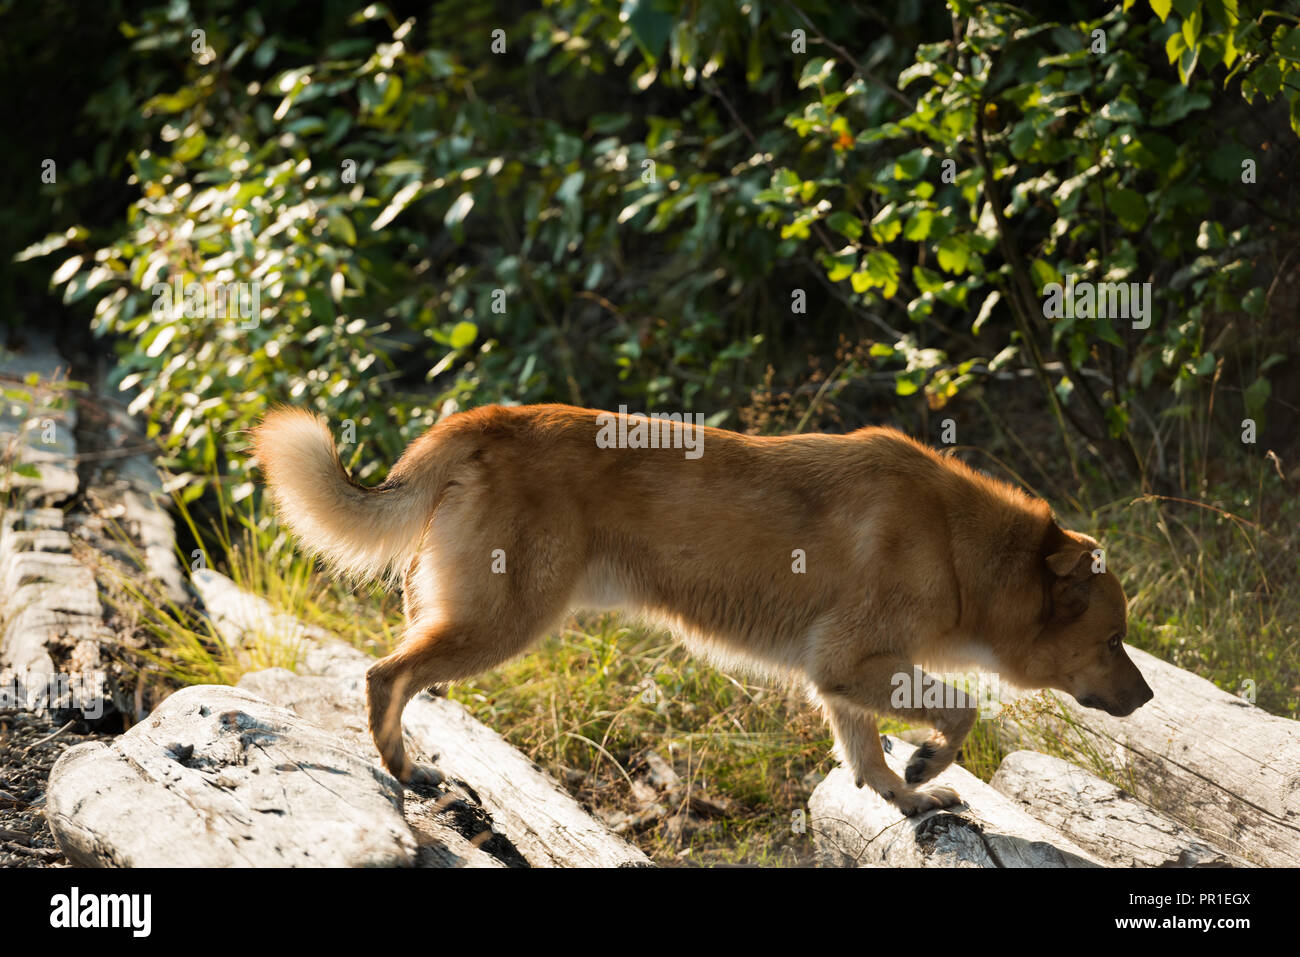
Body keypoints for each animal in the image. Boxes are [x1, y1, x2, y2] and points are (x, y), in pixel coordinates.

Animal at [256, 403, 1159, 816]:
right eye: (1113, 636)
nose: (1150, 696)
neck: (963, 548)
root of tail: (484, 420)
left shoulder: (841, 679)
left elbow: (866, 756)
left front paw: (905, 796)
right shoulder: (860, 663)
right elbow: (962, 710)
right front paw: (928, 767)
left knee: (392, 673)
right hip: (500, 622)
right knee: (383, 676)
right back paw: (404, 769)